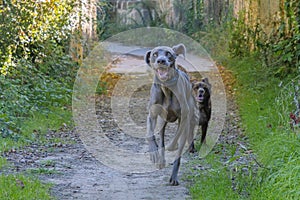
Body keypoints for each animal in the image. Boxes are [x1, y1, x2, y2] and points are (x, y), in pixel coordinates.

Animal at [145, 44, 198, 186]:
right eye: (155, 54)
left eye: (168, 53)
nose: (161, 61)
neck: (167, 89)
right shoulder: (152, 115)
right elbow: (150, 134)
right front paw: (154, 153)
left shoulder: (183, 118)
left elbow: (178, 142)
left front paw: (173, 177)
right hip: (162, 121)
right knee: (161, 139)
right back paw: (161, 159)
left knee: (189, 130)